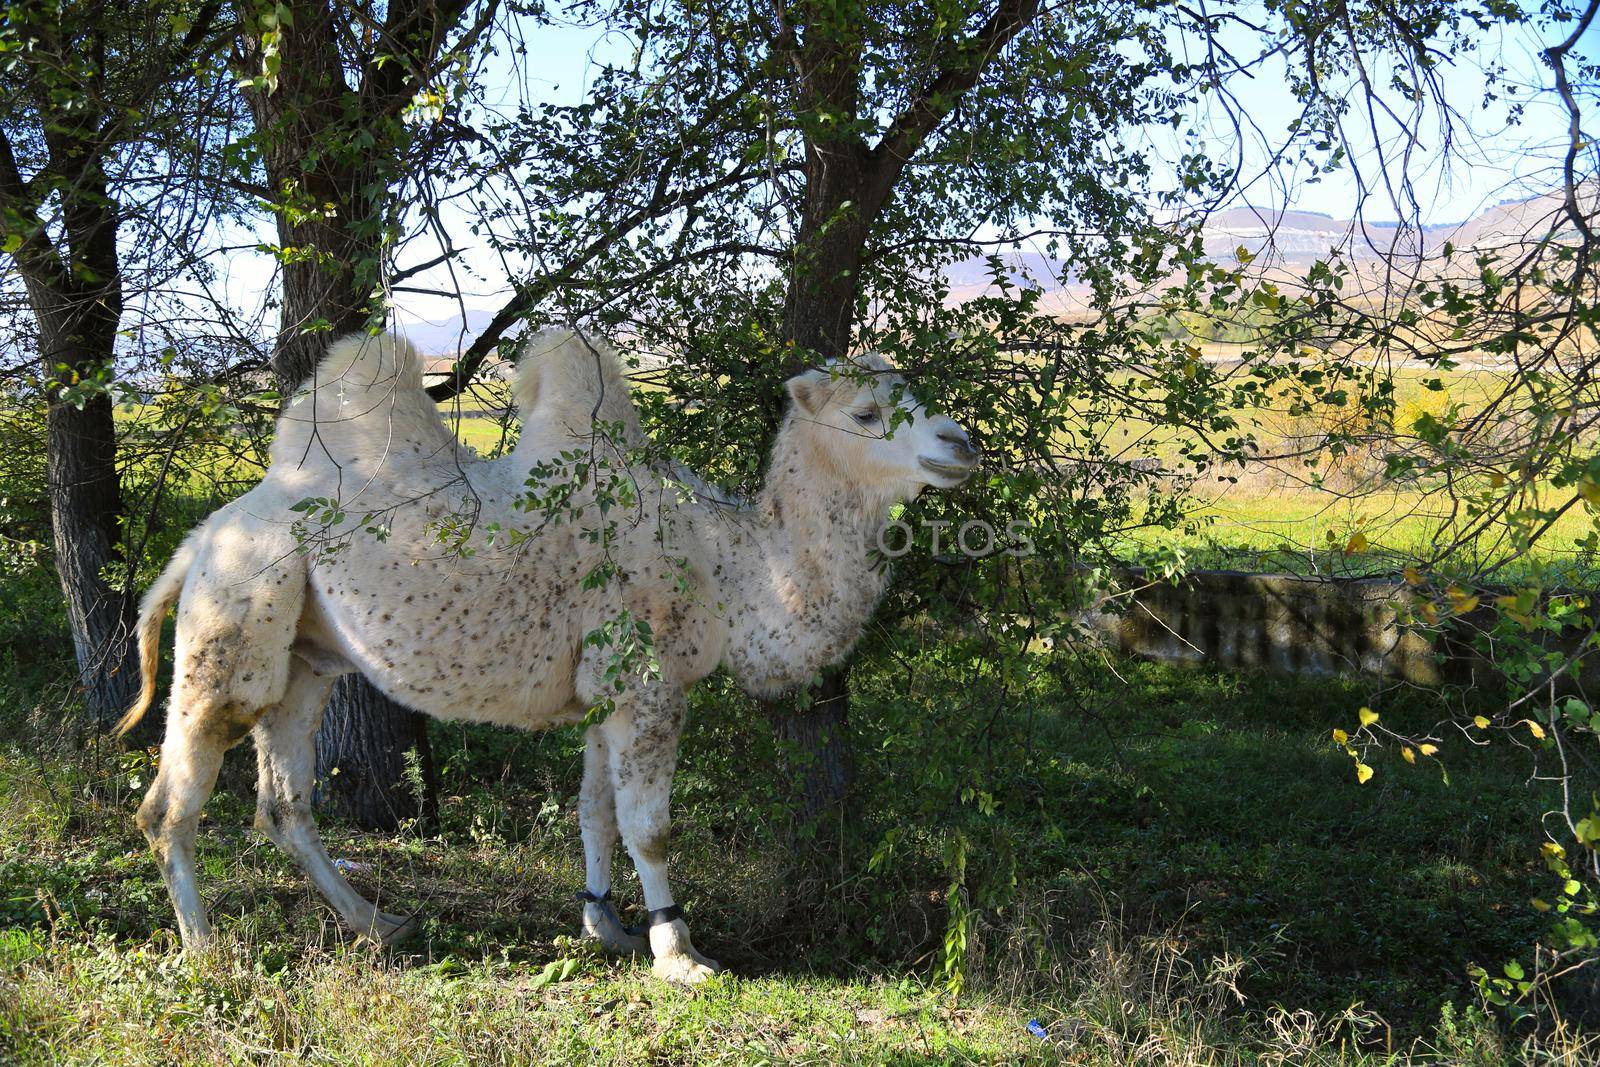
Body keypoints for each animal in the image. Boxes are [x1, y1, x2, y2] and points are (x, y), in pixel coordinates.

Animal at [121, 327, 972, 985]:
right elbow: (650, 826)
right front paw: (680, 953)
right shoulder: (649, 683)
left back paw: (379, 923)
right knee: (171, 799)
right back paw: (206, 948)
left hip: (305, 657)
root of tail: (202, 535)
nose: (961, 443)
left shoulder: (605, 691)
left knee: (285, 800)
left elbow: (594, 811)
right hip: (235, 615)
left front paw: (608, 927)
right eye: (867, 412)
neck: (726, 560)